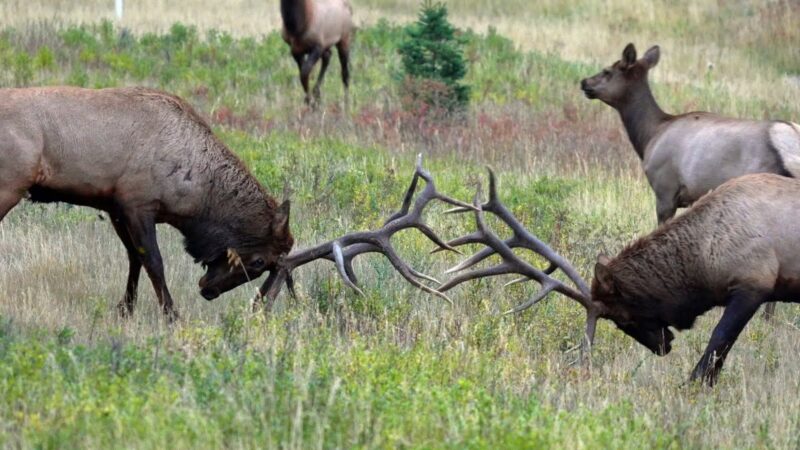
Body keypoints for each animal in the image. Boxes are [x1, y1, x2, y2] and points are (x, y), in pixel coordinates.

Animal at [0, 86, 296, 322]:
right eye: (259, 261)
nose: (208, 290)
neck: (193, 193)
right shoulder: (138, 205)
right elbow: (153, 261)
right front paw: (171, 315)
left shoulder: (115, 207)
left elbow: (134, 258)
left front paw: (126, 309)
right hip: (9, 185)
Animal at [438, 169, 800, 386]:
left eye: (621, 318)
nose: (663, 346)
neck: (705, 262)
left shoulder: (753, 283)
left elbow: (718, 342)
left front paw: (692, 385)